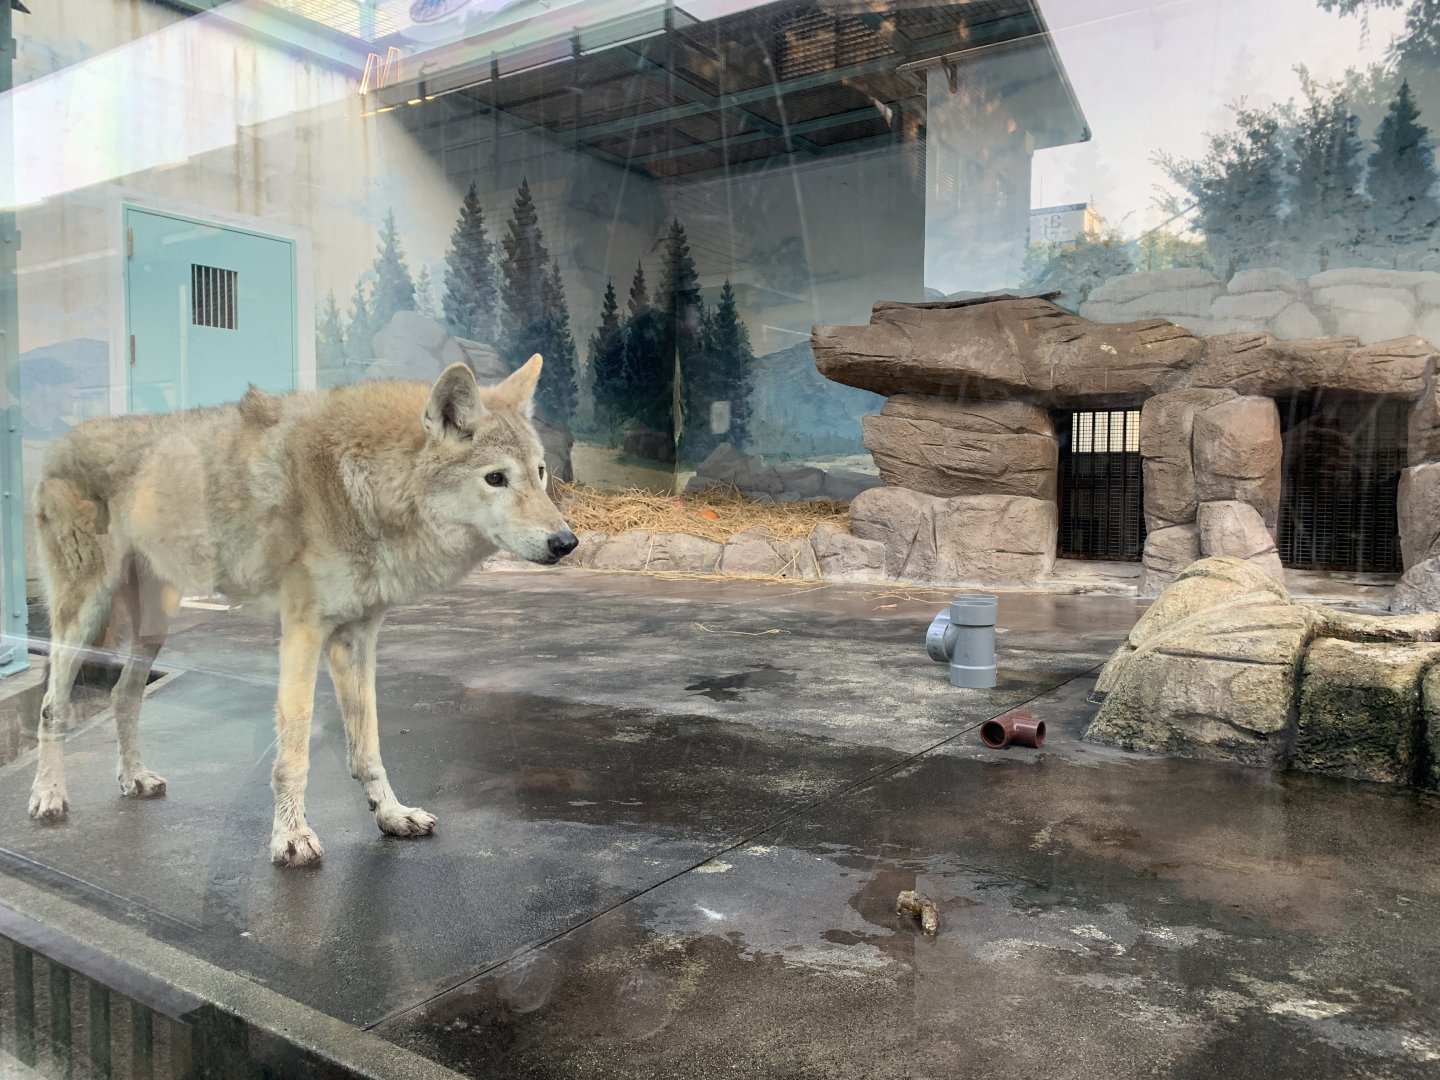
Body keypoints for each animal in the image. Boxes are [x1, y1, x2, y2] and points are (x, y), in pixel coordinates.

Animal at [30, 356, 576, 865]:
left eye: (539, 473)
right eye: (496, 478)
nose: (566, 542)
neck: (360, 487)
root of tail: (59, 441)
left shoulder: (357, 636)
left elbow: (368, 744)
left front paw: (391, 815)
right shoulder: (303, 630)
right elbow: (293, 751)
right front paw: (290, 837)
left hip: (154, 625)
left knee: (124, 696)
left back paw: (135, 778)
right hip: (83, 616)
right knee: (52, 704)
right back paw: (48, 796)